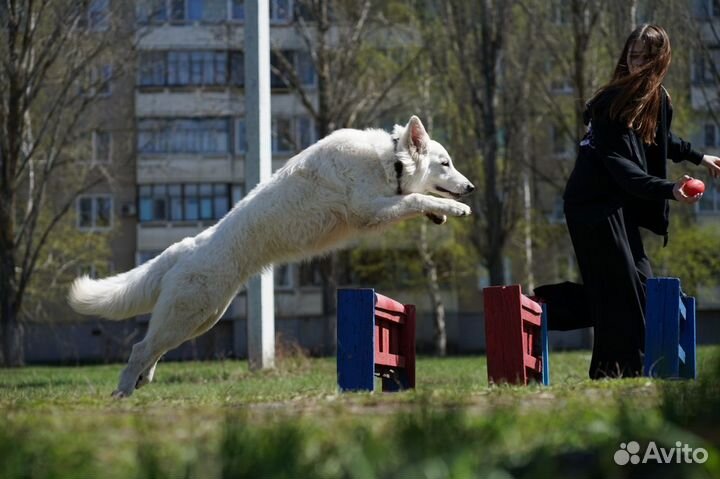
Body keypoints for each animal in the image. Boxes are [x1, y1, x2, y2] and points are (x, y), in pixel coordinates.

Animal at [66, 116, 472, 398]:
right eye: (445, 163)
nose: (471, 187)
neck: (390, 161)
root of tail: (186, 247)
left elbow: (415, 199)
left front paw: (441, 213)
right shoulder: (369, 210)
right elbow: (416, 197)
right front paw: (454, 209)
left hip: (201, 319)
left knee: (152, 348)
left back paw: (142, 380)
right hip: (188, 316)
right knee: (140, 347)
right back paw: (123, 390)